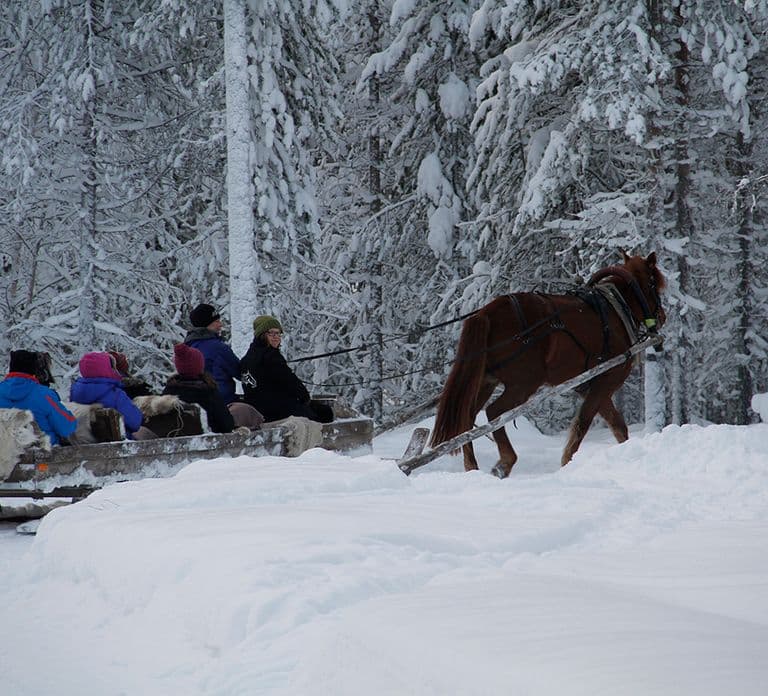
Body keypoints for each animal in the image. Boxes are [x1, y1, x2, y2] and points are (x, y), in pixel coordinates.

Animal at [430, 251, 666, 478]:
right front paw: (567, 462)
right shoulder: (607, 379)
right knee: (495, 412)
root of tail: (487, 311)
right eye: (653, 284)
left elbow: (617, 424)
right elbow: (582, 423)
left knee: (467, 419)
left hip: (485, 380)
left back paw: (472, 466)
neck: (616, 309)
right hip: (524, 382)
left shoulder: (589, 384)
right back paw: (505, 462)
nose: (662, 316)